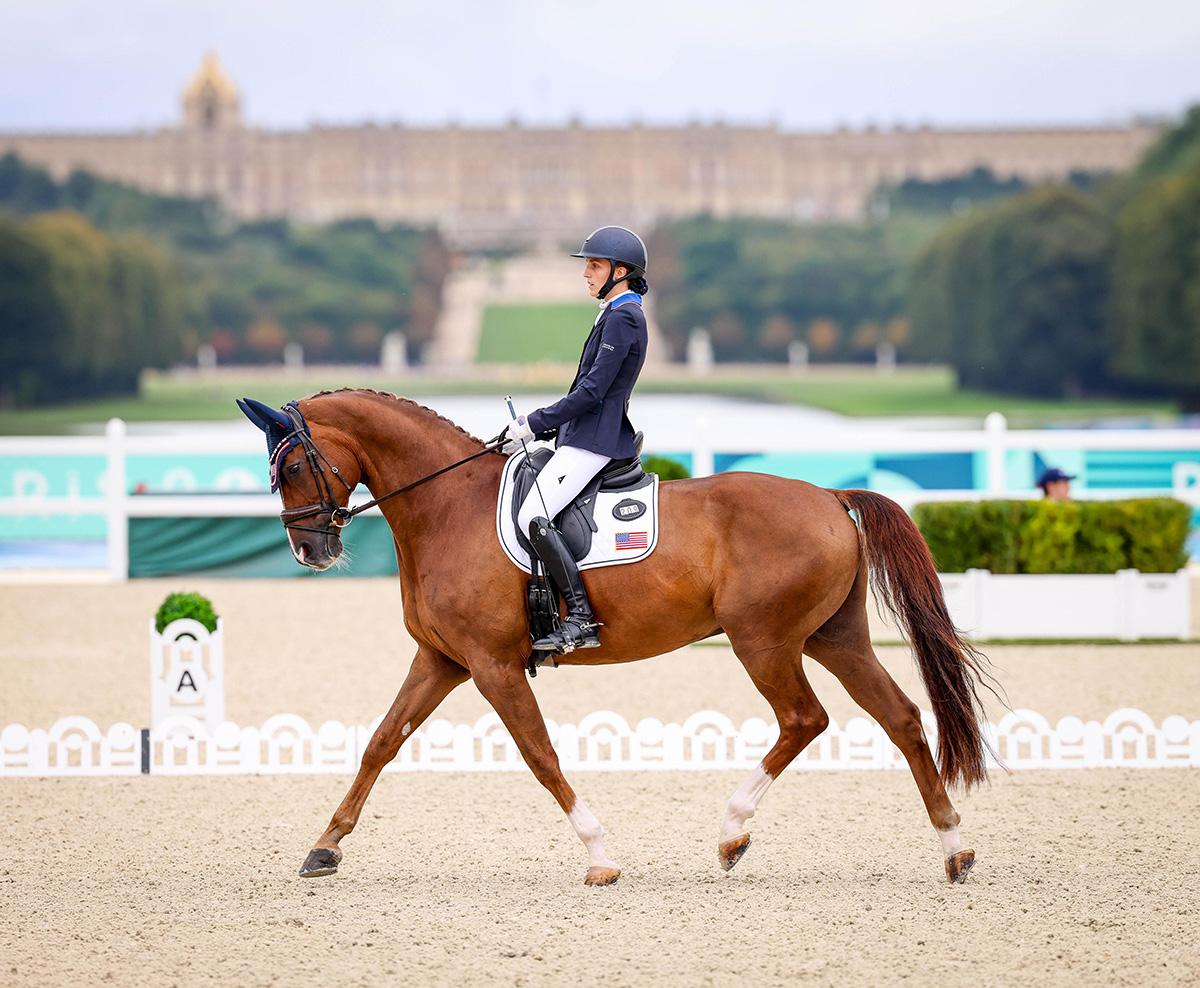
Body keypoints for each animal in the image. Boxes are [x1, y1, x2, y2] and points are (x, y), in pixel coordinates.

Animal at [250, 388, 993, 888]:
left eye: (292, 469)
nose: (308, 551)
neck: (448, 507)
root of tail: (829, 495)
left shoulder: (492, 665)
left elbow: (540, 756)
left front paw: (600, 857)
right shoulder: (440, 660)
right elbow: (380, 742)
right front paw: (325, 847)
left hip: (764, 641)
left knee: (803, 718)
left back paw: (731, 833)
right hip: (834, 639)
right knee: (900, 717)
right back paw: (953, 848)